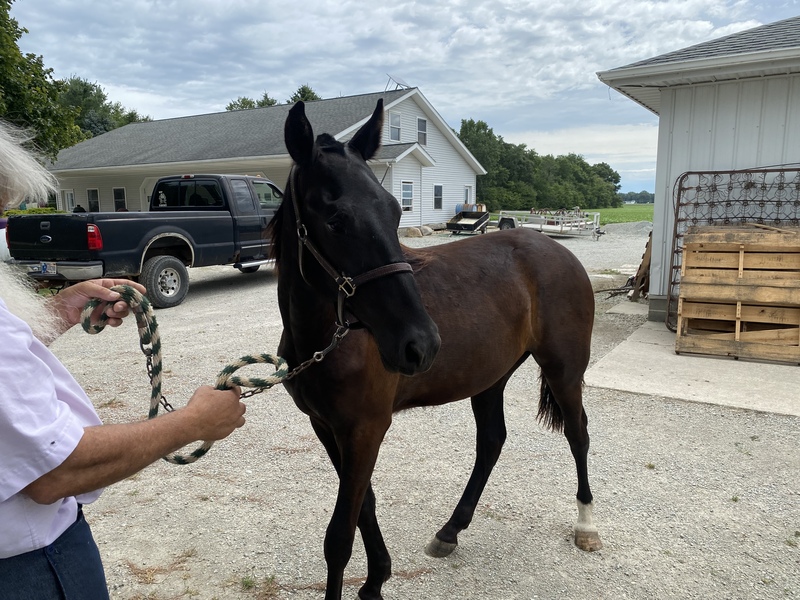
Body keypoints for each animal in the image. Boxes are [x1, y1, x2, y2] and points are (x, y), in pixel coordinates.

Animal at [271, 99, 602, 600]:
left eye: (394, 211)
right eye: (335, 220)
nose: (421, 344)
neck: (326, 339)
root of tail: (557, 250)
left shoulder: (365, 429)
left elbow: (339, 537)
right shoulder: (328, 427)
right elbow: (365, 504)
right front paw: (377, 579)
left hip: (563, 370)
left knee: (577, 433)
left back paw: (585, 525)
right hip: (491, 377)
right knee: (492, 442)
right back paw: (450, 530)